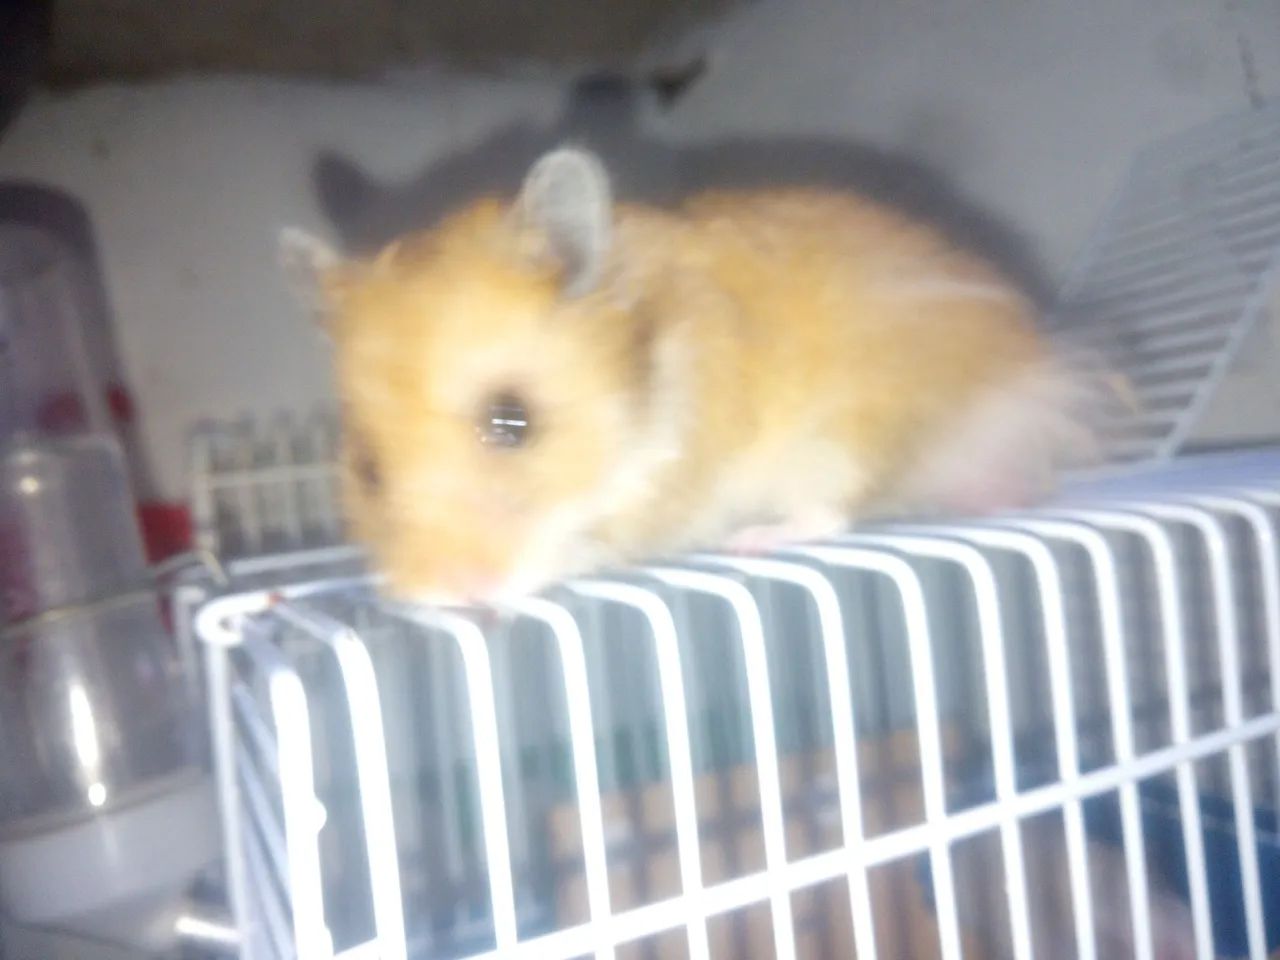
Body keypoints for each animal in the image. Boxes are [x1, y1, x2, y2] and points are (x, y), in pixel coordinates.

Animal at [282, 146, 1107, 605]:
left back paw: (757, 539)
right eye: (366, 471)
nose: (450, 595)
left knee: (831, 512)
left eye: (513, 419)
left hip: (844, 438)